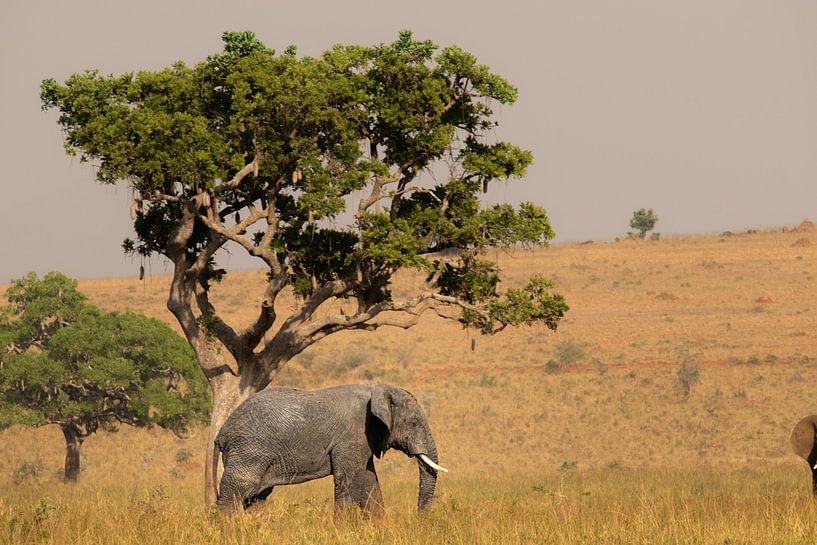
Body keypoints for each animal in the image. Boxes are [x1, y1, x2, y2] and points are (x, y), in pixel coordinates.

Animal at [212, 383, 447, 514]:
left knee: (256, 496)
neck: (376, 389)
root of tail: (221, 433)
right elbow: (349, 482)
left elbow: (370, 482)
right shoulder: (352, 437)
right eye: (414, 423)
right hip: (249, 450)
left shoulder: (363, 440)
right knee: (236, 490)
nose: (419, 519)